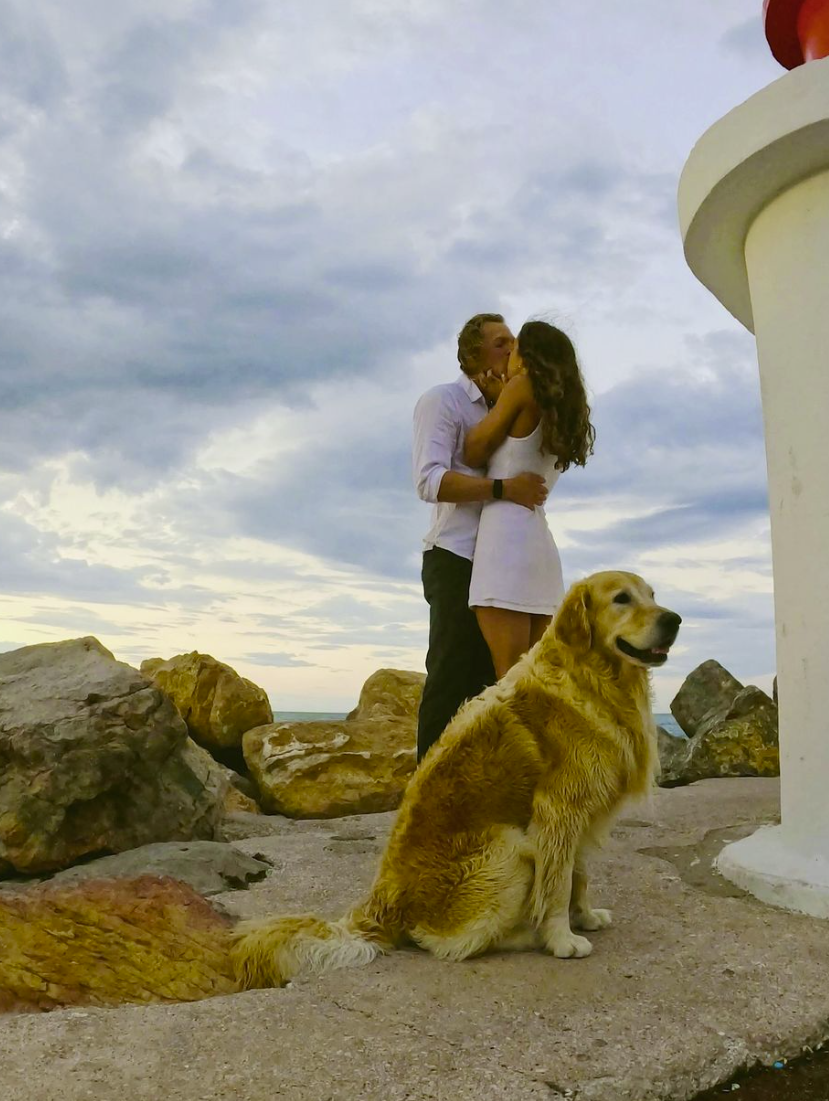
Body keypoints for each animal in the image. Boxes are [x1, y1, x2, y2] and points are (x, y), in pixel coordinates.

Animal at [231, 572, 678, 986]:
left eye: (652, 595)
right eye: (621, 599)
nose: (674, 620)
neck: (593, 675)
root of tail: (380, 909)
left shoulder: (582, 811)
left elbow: (578, 875)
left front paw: (583, 916)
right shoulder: (558, 810)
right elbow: (558, 884)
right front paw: (561, 939)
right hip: (511, 846)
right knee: (446, 943)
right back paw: (526, 933)